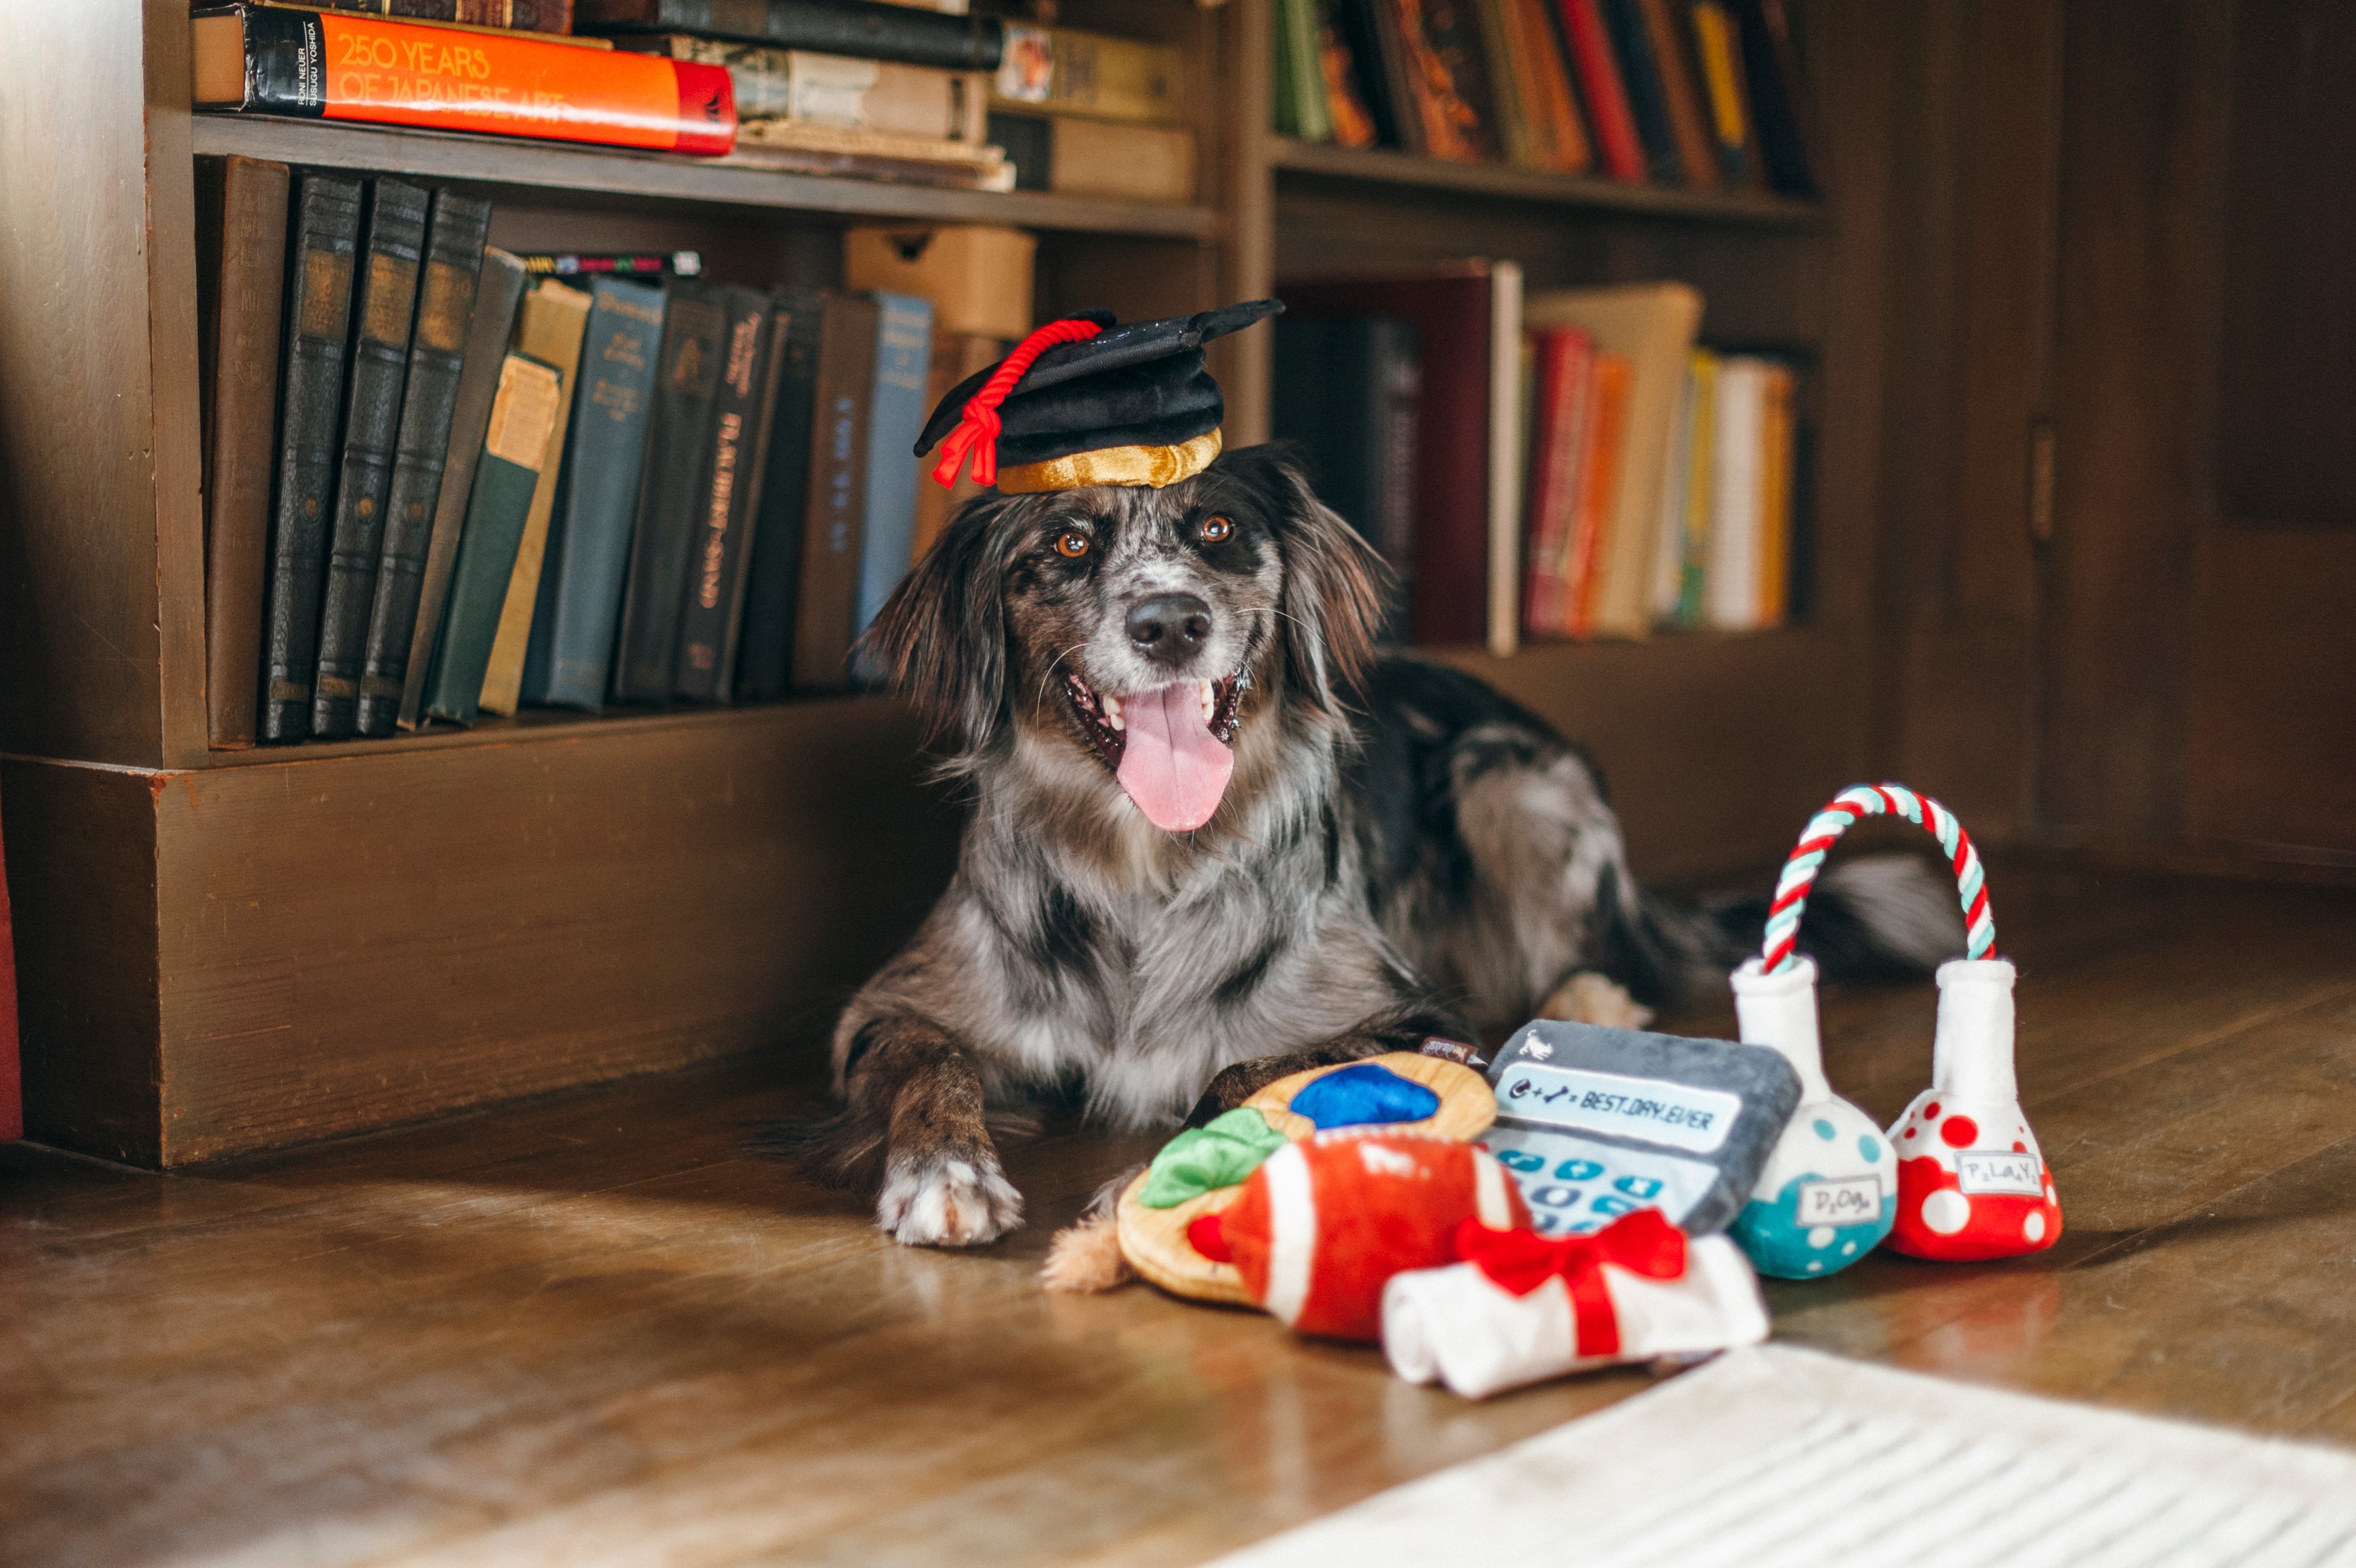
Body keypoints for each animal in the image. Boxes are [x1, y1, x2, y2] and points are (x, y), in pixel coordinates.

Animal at [782, 443, 1960, 1245]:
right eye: (1068, 542)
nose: (1170, 624)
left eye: (1215, 532)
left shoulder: (1410, 1013)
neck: (1148, 864)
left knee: (1607, 946)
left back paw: (1588, 995)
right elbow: (929, 1064)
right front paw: (943, 1174)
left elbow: (1246, 1066)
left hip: (1506, 781)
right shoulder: (892, 1008)